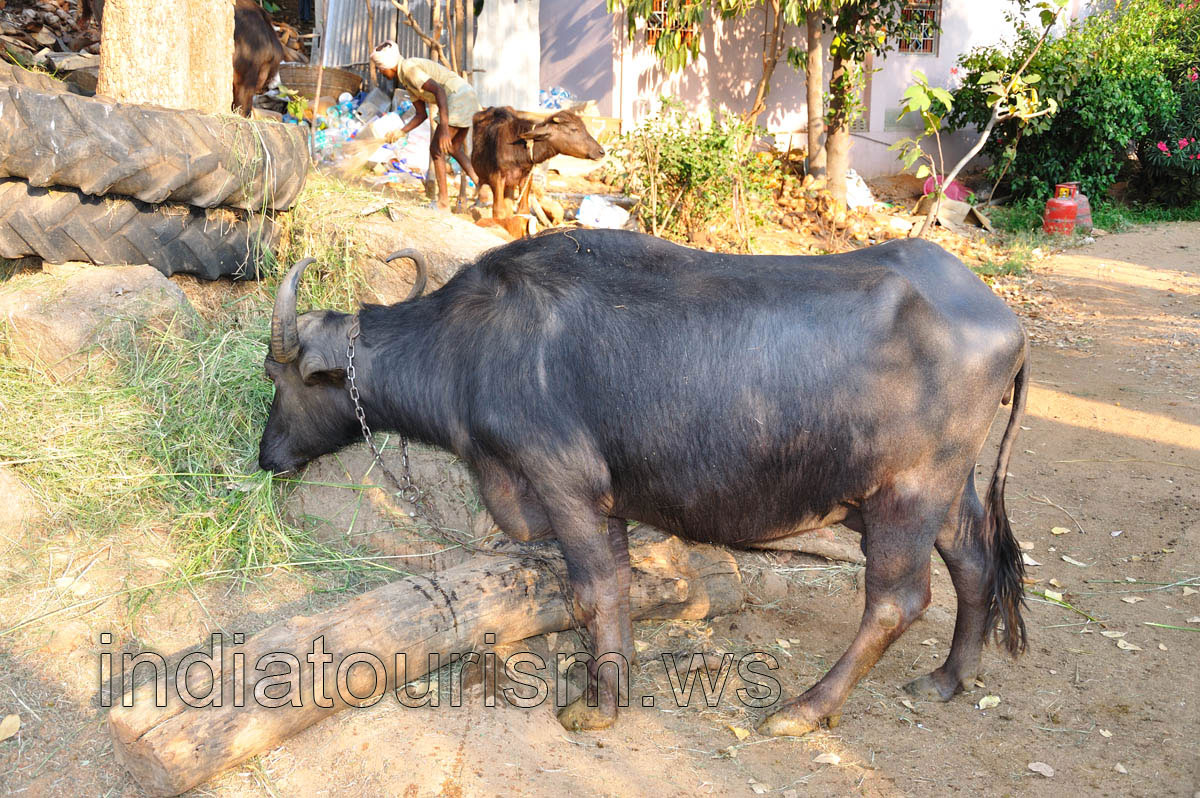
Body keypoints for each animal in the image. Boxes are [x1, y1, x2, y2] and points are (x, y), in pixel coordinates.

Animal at [257, 230, 1030, 736]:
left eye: (279, 375)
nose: (267, 456)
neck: (468, 349)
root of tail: (1006, 321)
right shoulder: (605, 505)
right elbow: (618, 586)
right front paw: (609, 678)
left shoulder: (564, 486)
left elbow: (594, 591)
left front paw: (596, 707)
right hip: (946, 490)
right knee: (973, 560)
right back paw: (952, 677)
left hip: (906, 496)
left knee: (897, 600)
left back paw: (802, 710)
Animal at [470, 107, 605, 219]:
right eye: (574, 129)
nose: (601, 151)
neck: (518, 148)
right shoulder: (496, 178)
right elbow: (499, 211)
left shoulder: (526, 176)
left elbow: (523, 210)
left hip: (510, 185)